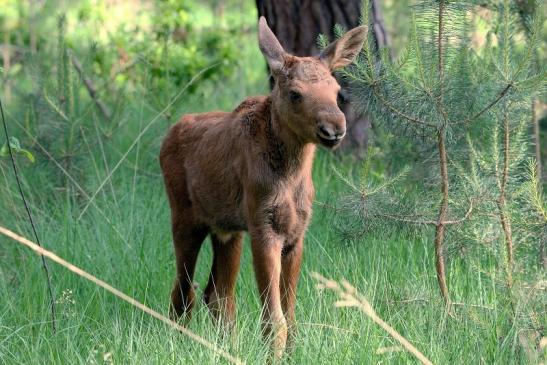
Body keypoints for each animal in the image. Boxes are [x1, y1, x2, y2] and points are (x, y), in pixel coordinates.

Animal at [161, 17, 370, 358]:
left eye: (337, 91)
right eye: (295, 93)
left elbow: (291, 313)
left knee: (217, 294)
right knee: (183, 291)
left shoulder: (296, 235)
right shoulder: (263, 228)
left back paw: (228, 348)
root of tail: (169, 135)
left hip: (227, 231)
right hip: (185, 219)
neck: (292, 175)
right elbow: (275, 319)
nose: (334, 129)